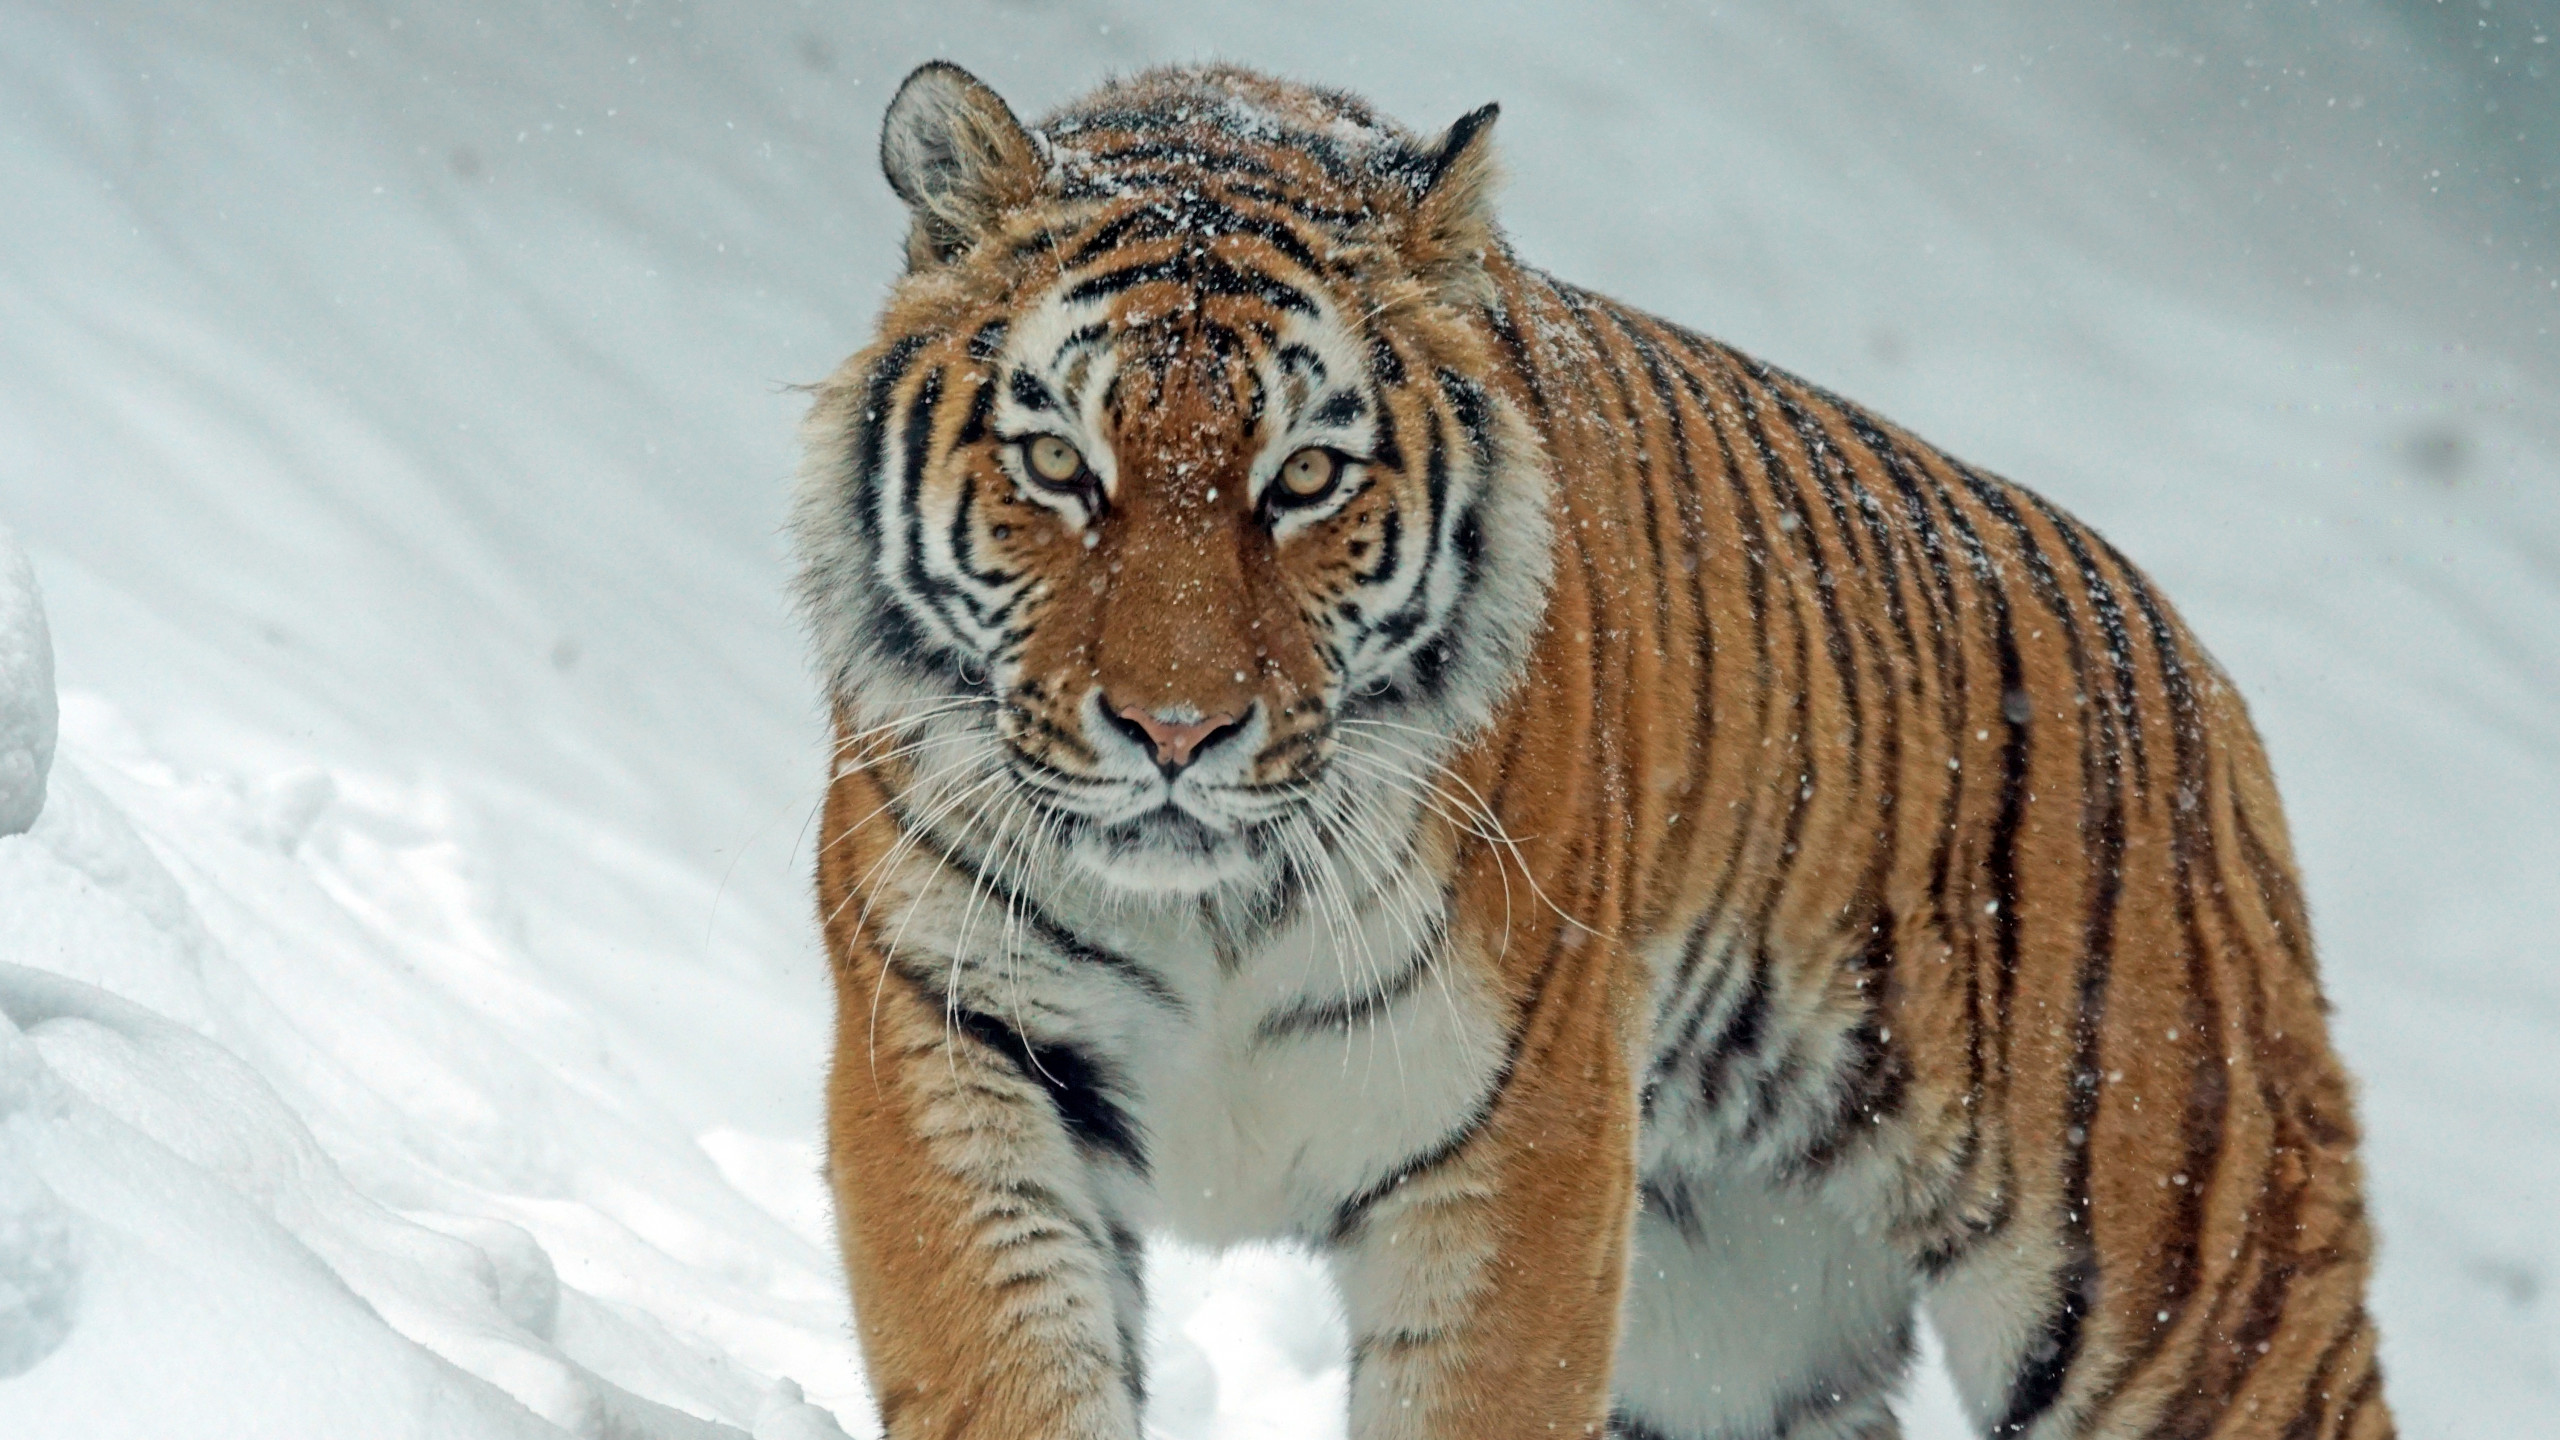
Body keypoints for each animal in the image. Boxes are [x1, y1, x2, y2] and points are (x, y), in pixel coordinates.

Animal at [790, 60, 2392, 1440]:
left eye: (1304, 476)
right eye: (1059, 463)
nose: (1176, 730)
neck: (1214, 911)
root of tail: (2197, 677)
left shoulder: (1524, 1146)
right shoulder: (955, 1050)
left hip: (2189, 1293)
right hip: (1737, 1326)